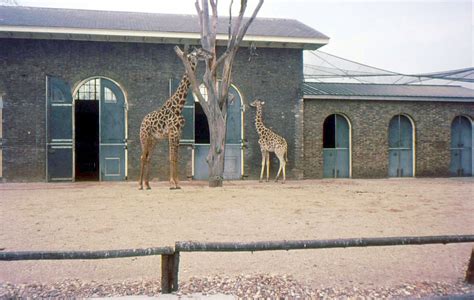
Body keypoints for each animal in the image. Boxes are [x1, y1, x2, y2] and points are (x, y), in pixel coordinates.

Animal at [139, 49, 207, 190]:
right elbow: (171, 158)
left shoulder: (178, 134)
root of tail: (142, 121)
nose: (209, 55)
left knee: (148, 157)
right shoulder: (172, 133)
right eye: (199, 53)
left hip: (154, 140)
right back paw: (140, 185)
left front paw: (177, 183)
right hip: (144, 137)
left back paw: (147, 185)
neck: (178, 107)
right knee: (142, 156)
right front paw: (171, 184)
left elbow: (176, 158)